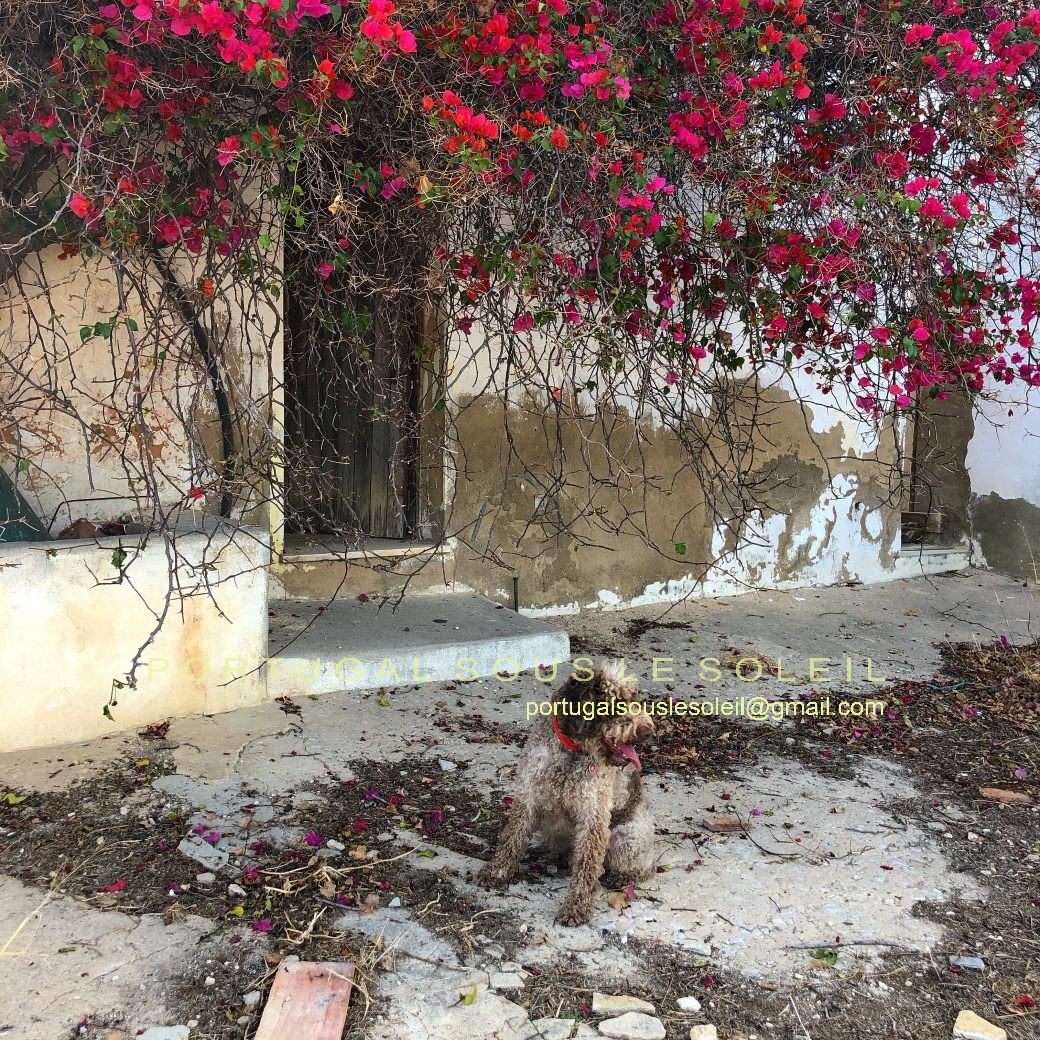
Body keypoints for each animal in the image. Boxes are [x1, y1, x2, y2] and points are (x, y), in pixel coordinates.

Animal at [476, 661, 653, 923]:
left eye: (635, 700)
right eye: (616, 704)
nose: (648, 730)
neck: (571, 751)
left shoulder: (593, 813)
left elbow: (587, 864)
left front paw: (576, 907)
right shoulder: (528, 795)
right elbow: (512, 838)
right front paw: (496, 871)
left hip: (627, 837)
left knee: (640, 867)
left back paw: (624, 875)